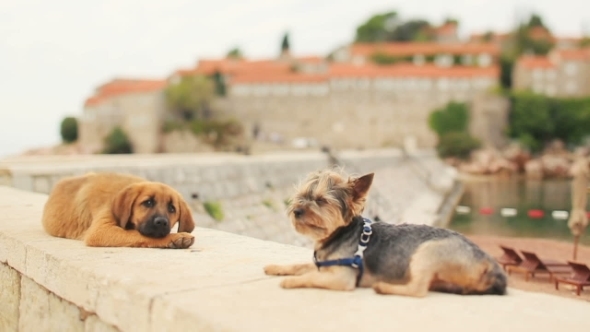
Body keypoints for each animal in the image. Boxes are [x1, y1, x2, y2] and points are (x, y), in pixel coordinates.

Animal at [42, 172, 199, 248]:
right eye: (148, 202)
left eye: (172, 208)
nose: (161, 222)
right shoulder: (101, 230)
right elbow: (137, 234)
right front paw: (176, 237)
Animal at [264, 170, 508, 296]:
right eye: (300, 197)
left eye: (321, 201)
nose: (296, 210)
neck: (337, 235)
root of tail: (490, 262)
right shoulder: (322, 265)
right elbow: (300, 265)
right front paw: (276, 267)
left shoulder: (342, 278)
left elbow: (310, 276)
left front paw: (291, 281)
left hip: (428, 252)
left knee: (418, 289)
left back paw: (384, 286)